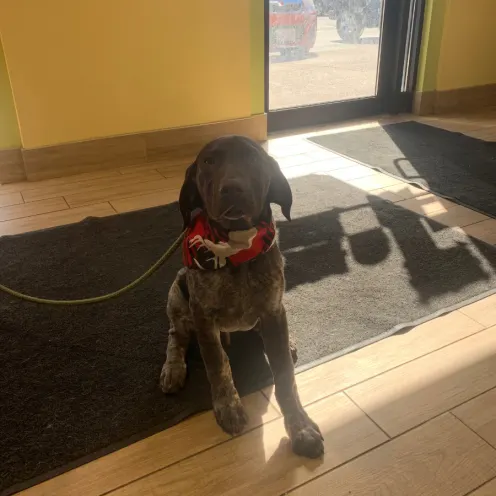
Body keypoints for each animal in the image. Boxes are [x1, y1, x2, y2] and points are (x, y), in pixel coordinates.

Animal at [160, 135, 326, 458]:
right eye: (208, 161)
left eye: (252, 158)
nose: (232, 188)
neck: (237, 247)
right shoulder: (203, 317)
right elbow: (218, 366)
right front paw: (228, 407)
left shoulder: (273, 310)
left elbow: (285, 377)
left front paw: (300, 427)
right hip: (177, 293)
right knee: (176, 335)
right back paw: (173, 367)